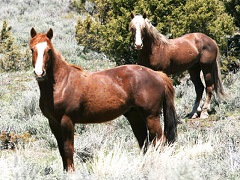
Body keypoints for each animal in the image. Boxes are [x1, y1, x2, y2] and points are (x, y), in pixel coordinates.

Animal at [29, 28, 177, 172]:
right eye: (32, 49)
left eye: (48, 50)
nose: (39, 73)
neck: (62, 82)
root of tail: (158, 74)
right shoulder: (53, 123)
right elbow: (61, 150)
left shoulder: (67, 120)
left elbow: (68, 149)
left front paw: (71, 173)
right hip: (135, 116)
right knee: (144, 142)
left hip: (151, 116)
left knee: (159, 141)